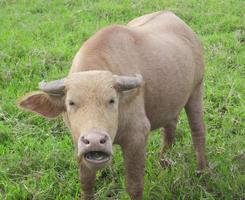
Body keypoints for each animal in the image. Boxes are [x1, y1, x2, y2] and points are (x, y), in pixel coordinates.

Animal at [18, 10, 205, 200]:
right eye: (71, 102)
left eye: (111, 100)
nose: (94, 141)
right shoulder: (78, 142)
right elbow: (86, 184)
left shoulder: (137, 137)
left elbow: (134, 186)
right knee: (170, 126)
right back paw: (164, 162)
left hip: (197, 89)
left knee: (198, 131)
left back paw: (202, 172)